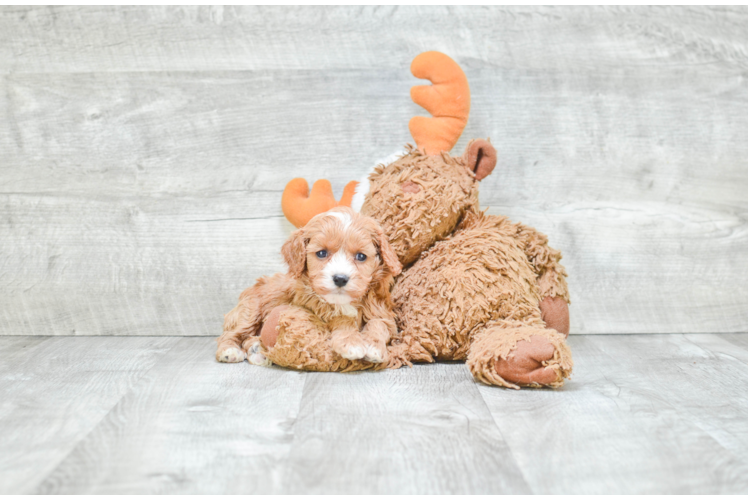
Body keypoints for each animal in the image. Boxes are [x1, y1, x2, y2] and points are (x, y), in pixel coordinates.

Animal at [216, 206, 404, 368]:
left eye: (361, 256)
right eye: (322, 253)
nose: (340, 279)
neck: (342, 301)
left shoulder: (382, 312)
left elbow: (379, 324)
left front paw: (374, 347)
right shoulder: (313, 306)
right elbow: (341, 318)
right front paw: (351, 342)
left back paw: (257, 351)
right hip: (250, 311)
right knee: (232, 333)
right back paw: (230, 350)